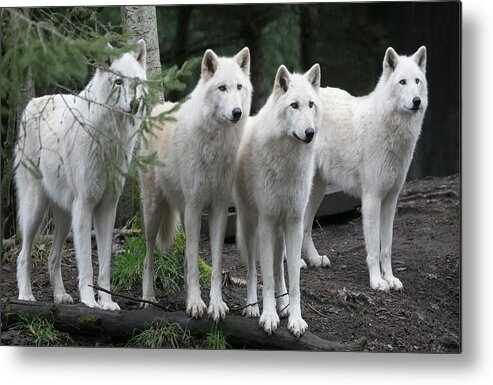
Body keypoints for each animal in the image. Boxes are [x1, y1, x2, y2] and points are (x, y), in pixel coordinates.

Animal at [14, 39, 147, 308]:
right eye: (118, 82)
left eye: (136, 81)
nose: (134, 105)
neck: (110, 139)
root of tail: (33, 102)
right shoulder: (85, 205)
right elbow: (86, 265)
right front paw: (89, 302)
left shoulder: (108, 208)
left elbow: (104, 266)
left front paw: (107, 302)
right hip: (36, 209)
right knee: (22, 255)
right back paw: (26, 296)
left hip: (65, 217)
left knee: (52, 257)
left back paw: (60, 296)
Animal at [140, 46, 252, 320]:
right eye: (222, 88)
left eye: (239, 87)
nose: (237, 113)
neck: (217, 144)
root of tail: (158, 108)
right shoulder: (194, 206)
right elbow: (192, 258)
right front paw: (195, 304)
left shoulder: (219, 208)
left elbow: (215, 263)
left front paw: (216, 304)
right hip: (154, 211)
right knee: (148, 257)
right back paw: (148, 298)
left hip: (180, 209)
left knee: (185, 260)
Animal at [234, 63, 322, 336]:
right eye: (294, 105)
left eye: (310, 105)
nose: (310, 133)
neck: (288, 162)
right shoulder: (267, 221)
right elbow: (266, 279)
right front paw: (268, 317)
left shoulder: (293, 222)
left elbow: (293, 279)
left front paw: (294, 318)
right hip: (250, 228)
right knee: (253, 271)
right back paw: (253, 306)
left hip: (281, 232)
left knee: (277, 267)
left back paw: (283, 306)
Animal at [302, 45, 424, 292]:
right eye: (402, 82)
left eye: (417, 80)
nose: (417, 101)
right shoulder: (371, 199)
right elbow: (373, 249)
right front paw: (377, 281)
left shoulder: (391, 201)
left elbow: (386, 248)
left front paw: (391, 279)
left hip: (317, 190)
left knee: (305, 227)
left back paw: (314, 259)